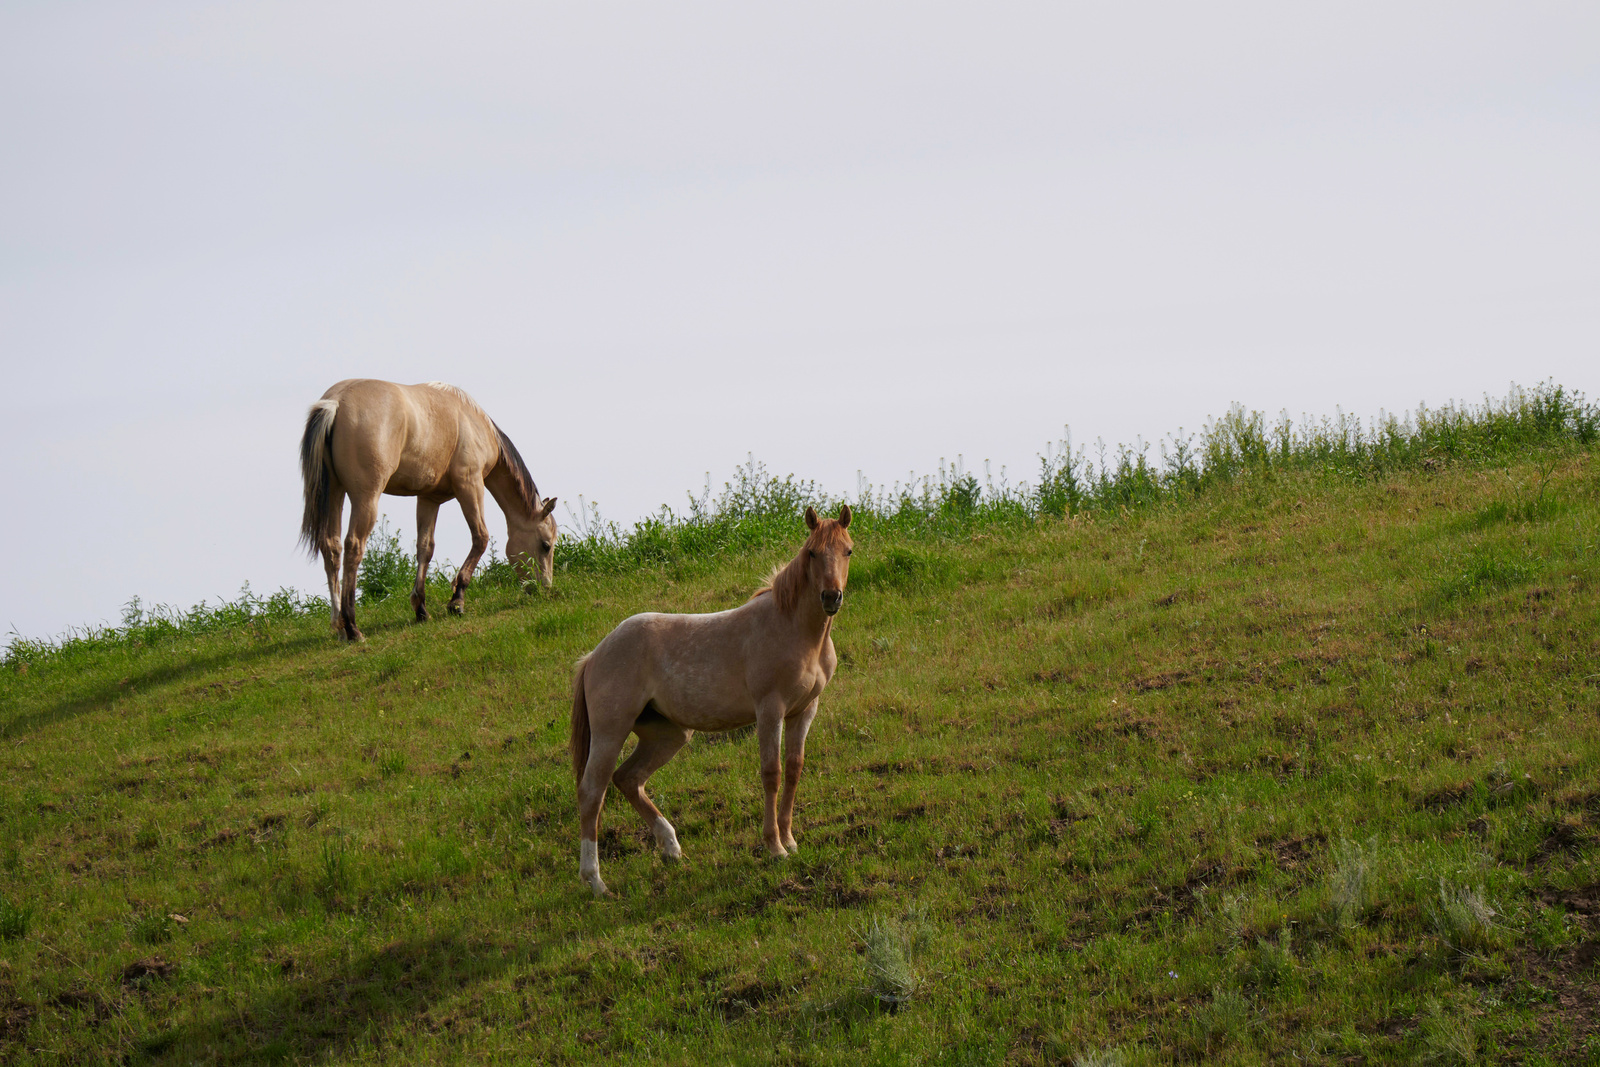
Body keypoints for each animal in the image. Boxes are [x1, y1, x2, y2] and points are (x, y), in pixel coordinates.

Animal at [298, 379, 558, 642]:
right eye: (546, 545)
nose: (545, 588)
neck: (475, 423)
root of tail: (337, 401)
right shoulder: (470, 485)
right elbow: (480, 538)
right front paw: (457, 600)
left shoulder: (428, 499)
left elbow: (425, 548)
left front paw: (421, 608)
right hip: (365, 498)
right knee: (353, 547)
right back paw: (352, 627)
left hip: (334, 493)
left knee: (332, 547)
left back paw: (340, 626)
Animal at [569, 505, 853, 898]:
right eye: (812, 552)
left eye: (848, 550)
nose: (831, 598)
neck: (795, 630)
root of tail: (594, 655)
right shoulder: (770, 710)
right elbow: (772, 773)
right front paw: (774, 847)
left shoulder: (804, 711)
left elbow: (794, 769)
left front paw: (791, 840)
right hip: (611, 733)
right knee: (592, 792)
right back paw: (596, 881)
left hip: (668, 735)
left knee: (629, 778)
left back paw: (671, 848)